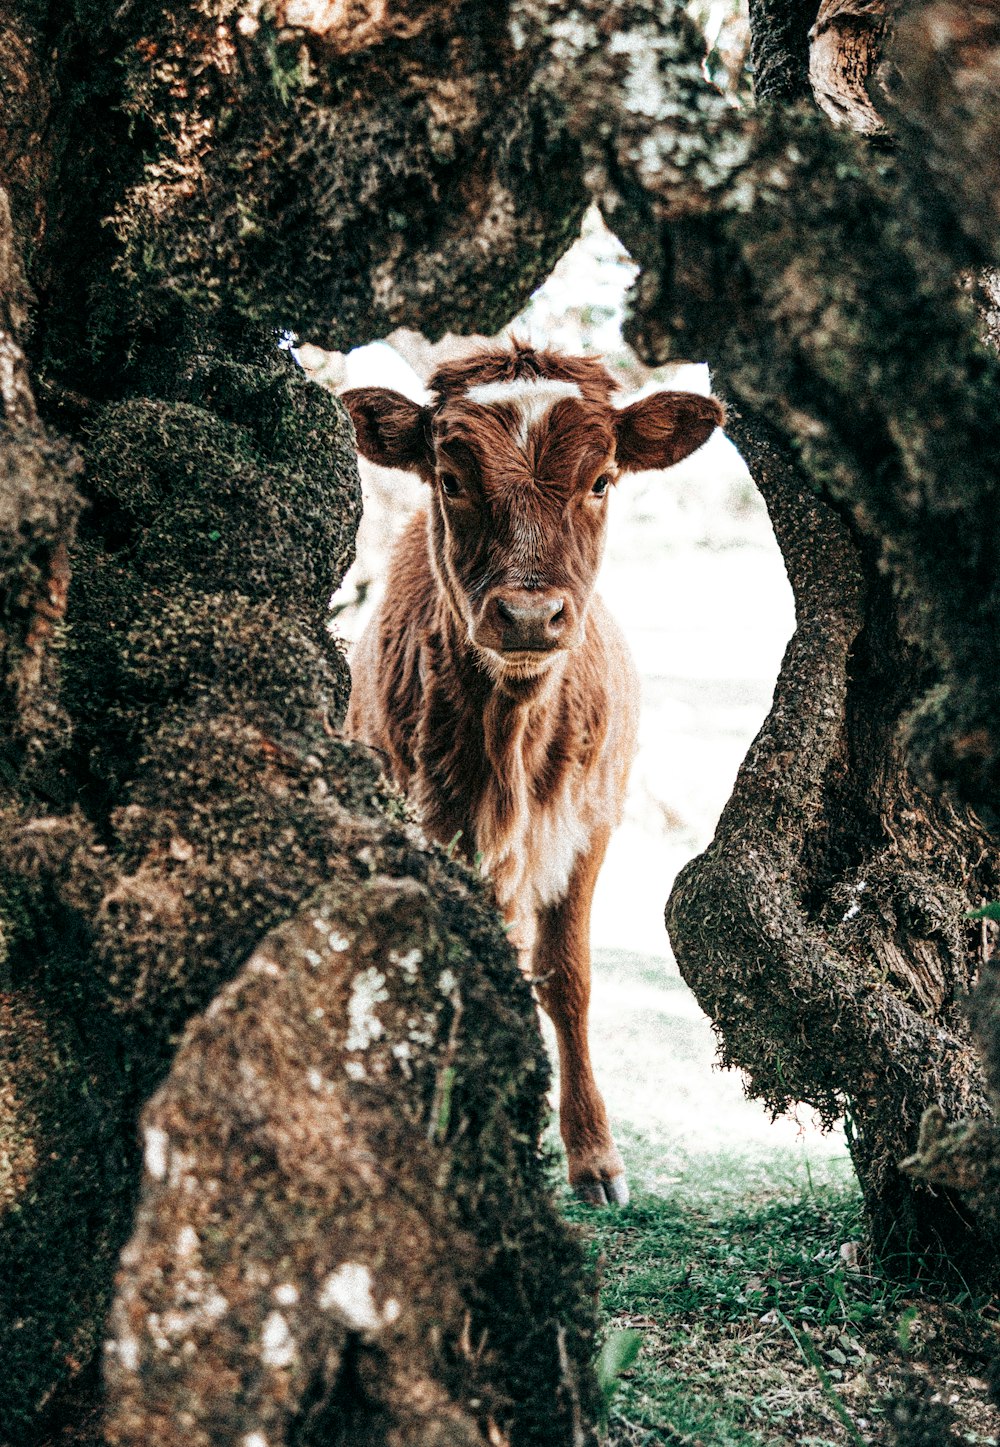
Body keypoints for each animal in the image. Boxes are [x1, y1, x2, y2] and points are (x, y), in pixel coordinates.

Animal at [342, 344, 720, 1203]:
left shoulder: (591, 825)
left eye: (603, 479)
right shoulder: (434, 829)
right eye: (451, 478)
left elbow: (566, 977)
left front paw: (593, 1155)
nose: (525, 615)